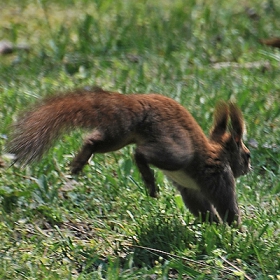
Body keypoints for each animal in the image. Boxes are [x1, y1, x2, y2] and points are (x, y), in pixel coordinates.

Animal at [7, 87, 252, 225]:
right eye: (247, 156)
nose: (249, 169)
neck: (218, 153)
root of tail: (141, 103)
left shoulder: (191, 189)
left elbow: (201, 208)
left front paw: (213, 226)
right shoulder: (219, 176)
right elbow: (227, 206)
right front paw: (235, 231)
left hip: (121, 134)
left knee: (94, 141)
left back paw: (79, 162)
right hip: (176, 149)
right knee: (140, 154)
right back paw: (149, 181)